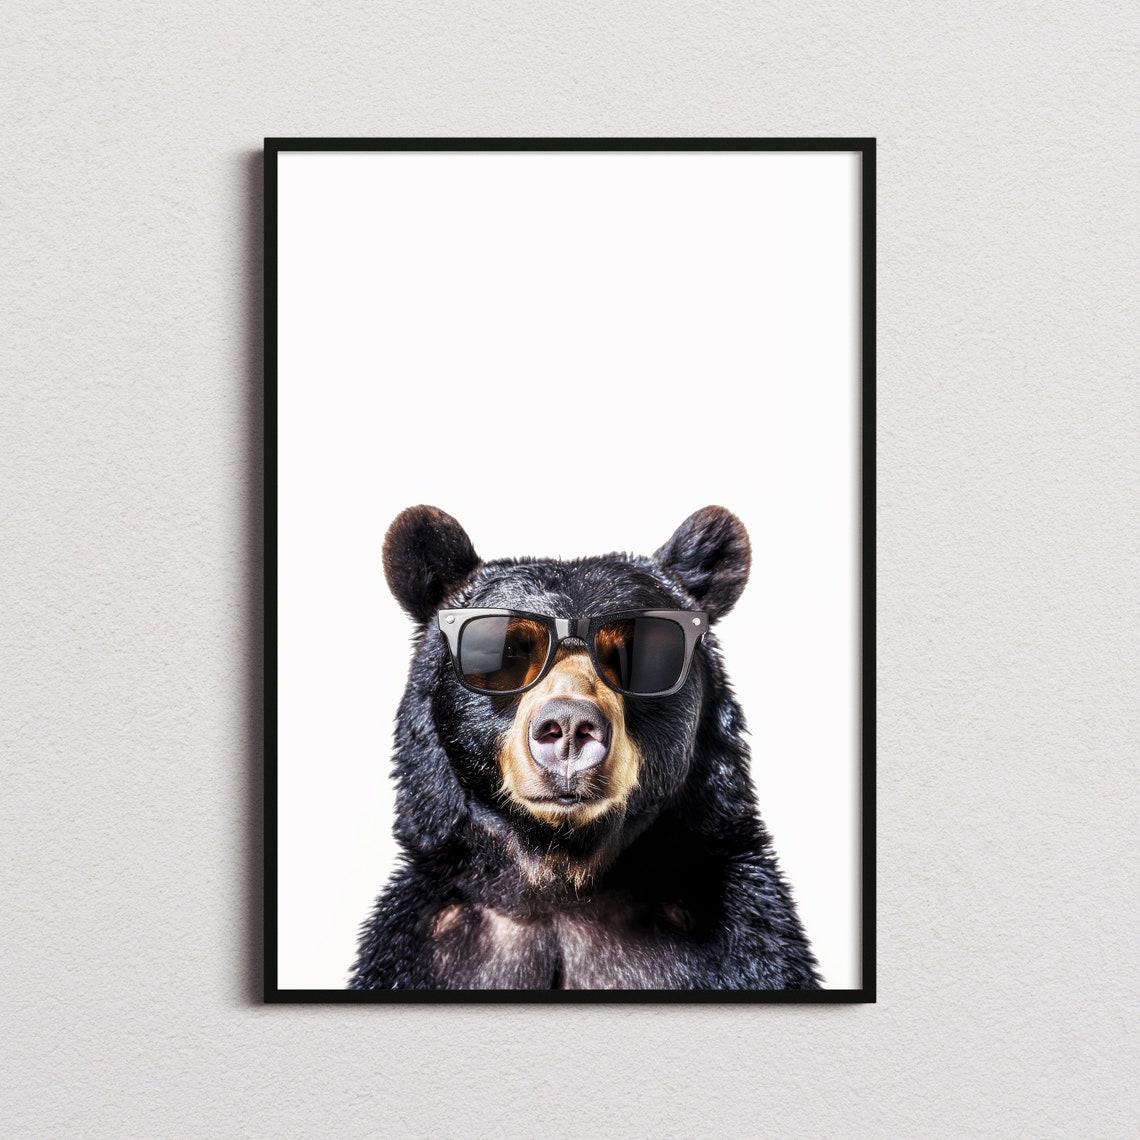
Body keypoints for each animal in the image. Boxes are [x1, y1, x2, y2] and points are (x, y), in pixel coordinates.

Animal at [350, 505, 821, 990]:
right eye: (506, 651)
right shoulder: (421, 947)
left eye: (643, 652)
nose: (571, 726)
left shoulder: (745, 941)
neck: (563, 878)